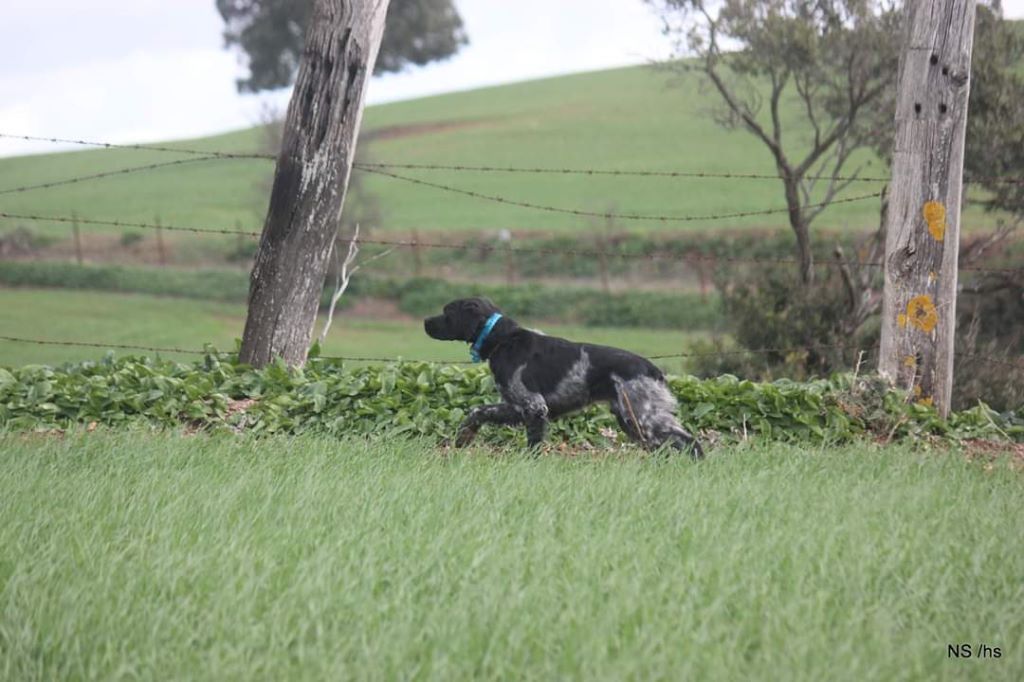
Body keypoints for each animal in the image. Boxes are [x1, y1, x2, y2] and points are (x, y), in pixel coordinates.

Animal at [423, 296, 704, 456]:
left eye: (447, 312)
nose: (425, 322)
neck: (503, 340)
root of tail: (653, 370)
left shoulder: (534, 406)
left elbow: (533, 444)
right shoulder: (516, 405)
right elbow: (477, 411)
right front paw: (464, 437)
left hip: (644, 418)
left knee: (690, 442)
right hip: (632, 420)